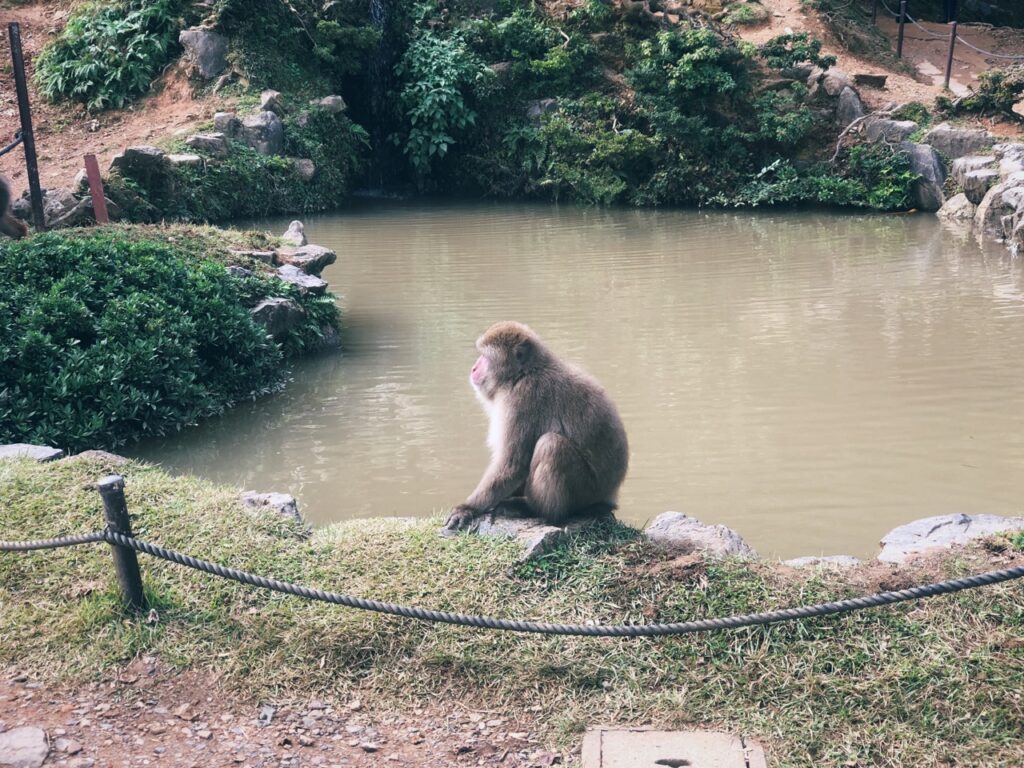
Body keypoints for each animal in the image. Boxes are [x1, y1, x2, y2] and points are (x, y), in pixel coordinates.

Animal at [444, 321, 629, 532]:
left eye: (486, 357)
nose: (474, 368)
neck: (524, 373)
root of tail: (610, 496)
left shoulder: (522, 399)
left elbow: (512, 465)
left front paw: (467, 508)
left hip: (586, 493)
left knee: (551, 445)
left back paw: (536, 510)